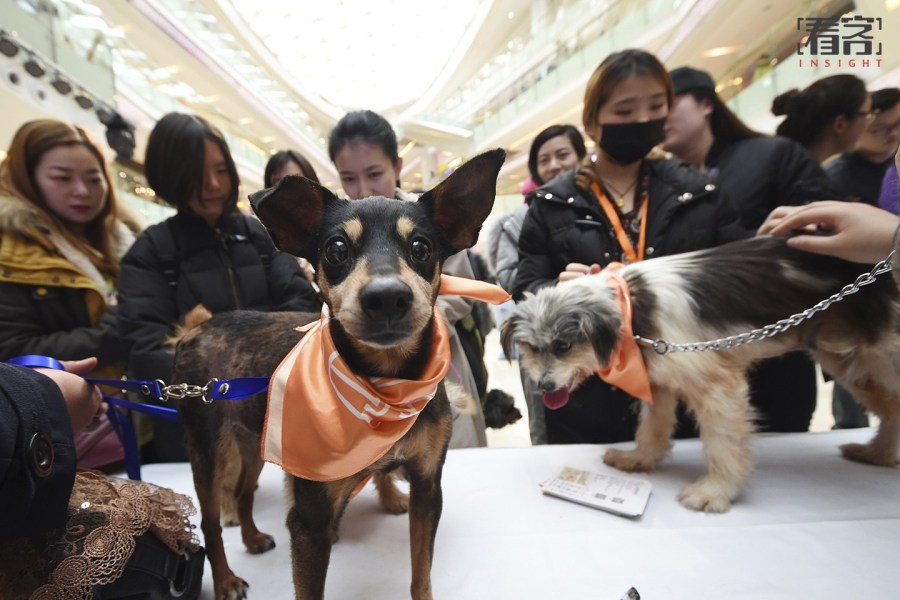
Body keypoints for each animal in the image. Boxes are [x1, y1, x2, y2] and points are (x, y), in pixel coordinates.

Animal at [171, 148, 506, 596]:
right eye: (335, 250)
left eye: (421, 247)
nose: (387, 297)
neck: (384, 385)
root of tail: (194, 329)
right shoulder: (309, 521)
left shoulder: (427, 486)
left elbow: (421, 574)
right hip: (208, 450)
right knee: (210, 524)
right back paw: (225, 579)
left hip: (254, 442)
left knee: (243, 495)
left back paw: (253, 538)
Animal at [500, 234, 900, 510]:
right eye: (531, 347)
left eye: (563, 346)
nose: (543, 386)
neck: (633, 308)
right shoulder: (658, 380)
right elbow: (653, 428)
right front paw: (639, 461)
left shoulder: (717, 387)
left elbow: (723, 443)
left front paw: (715, 491)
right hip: (852, 365)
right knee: (890, 411)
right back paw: (879, 454)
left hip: (880, 358)